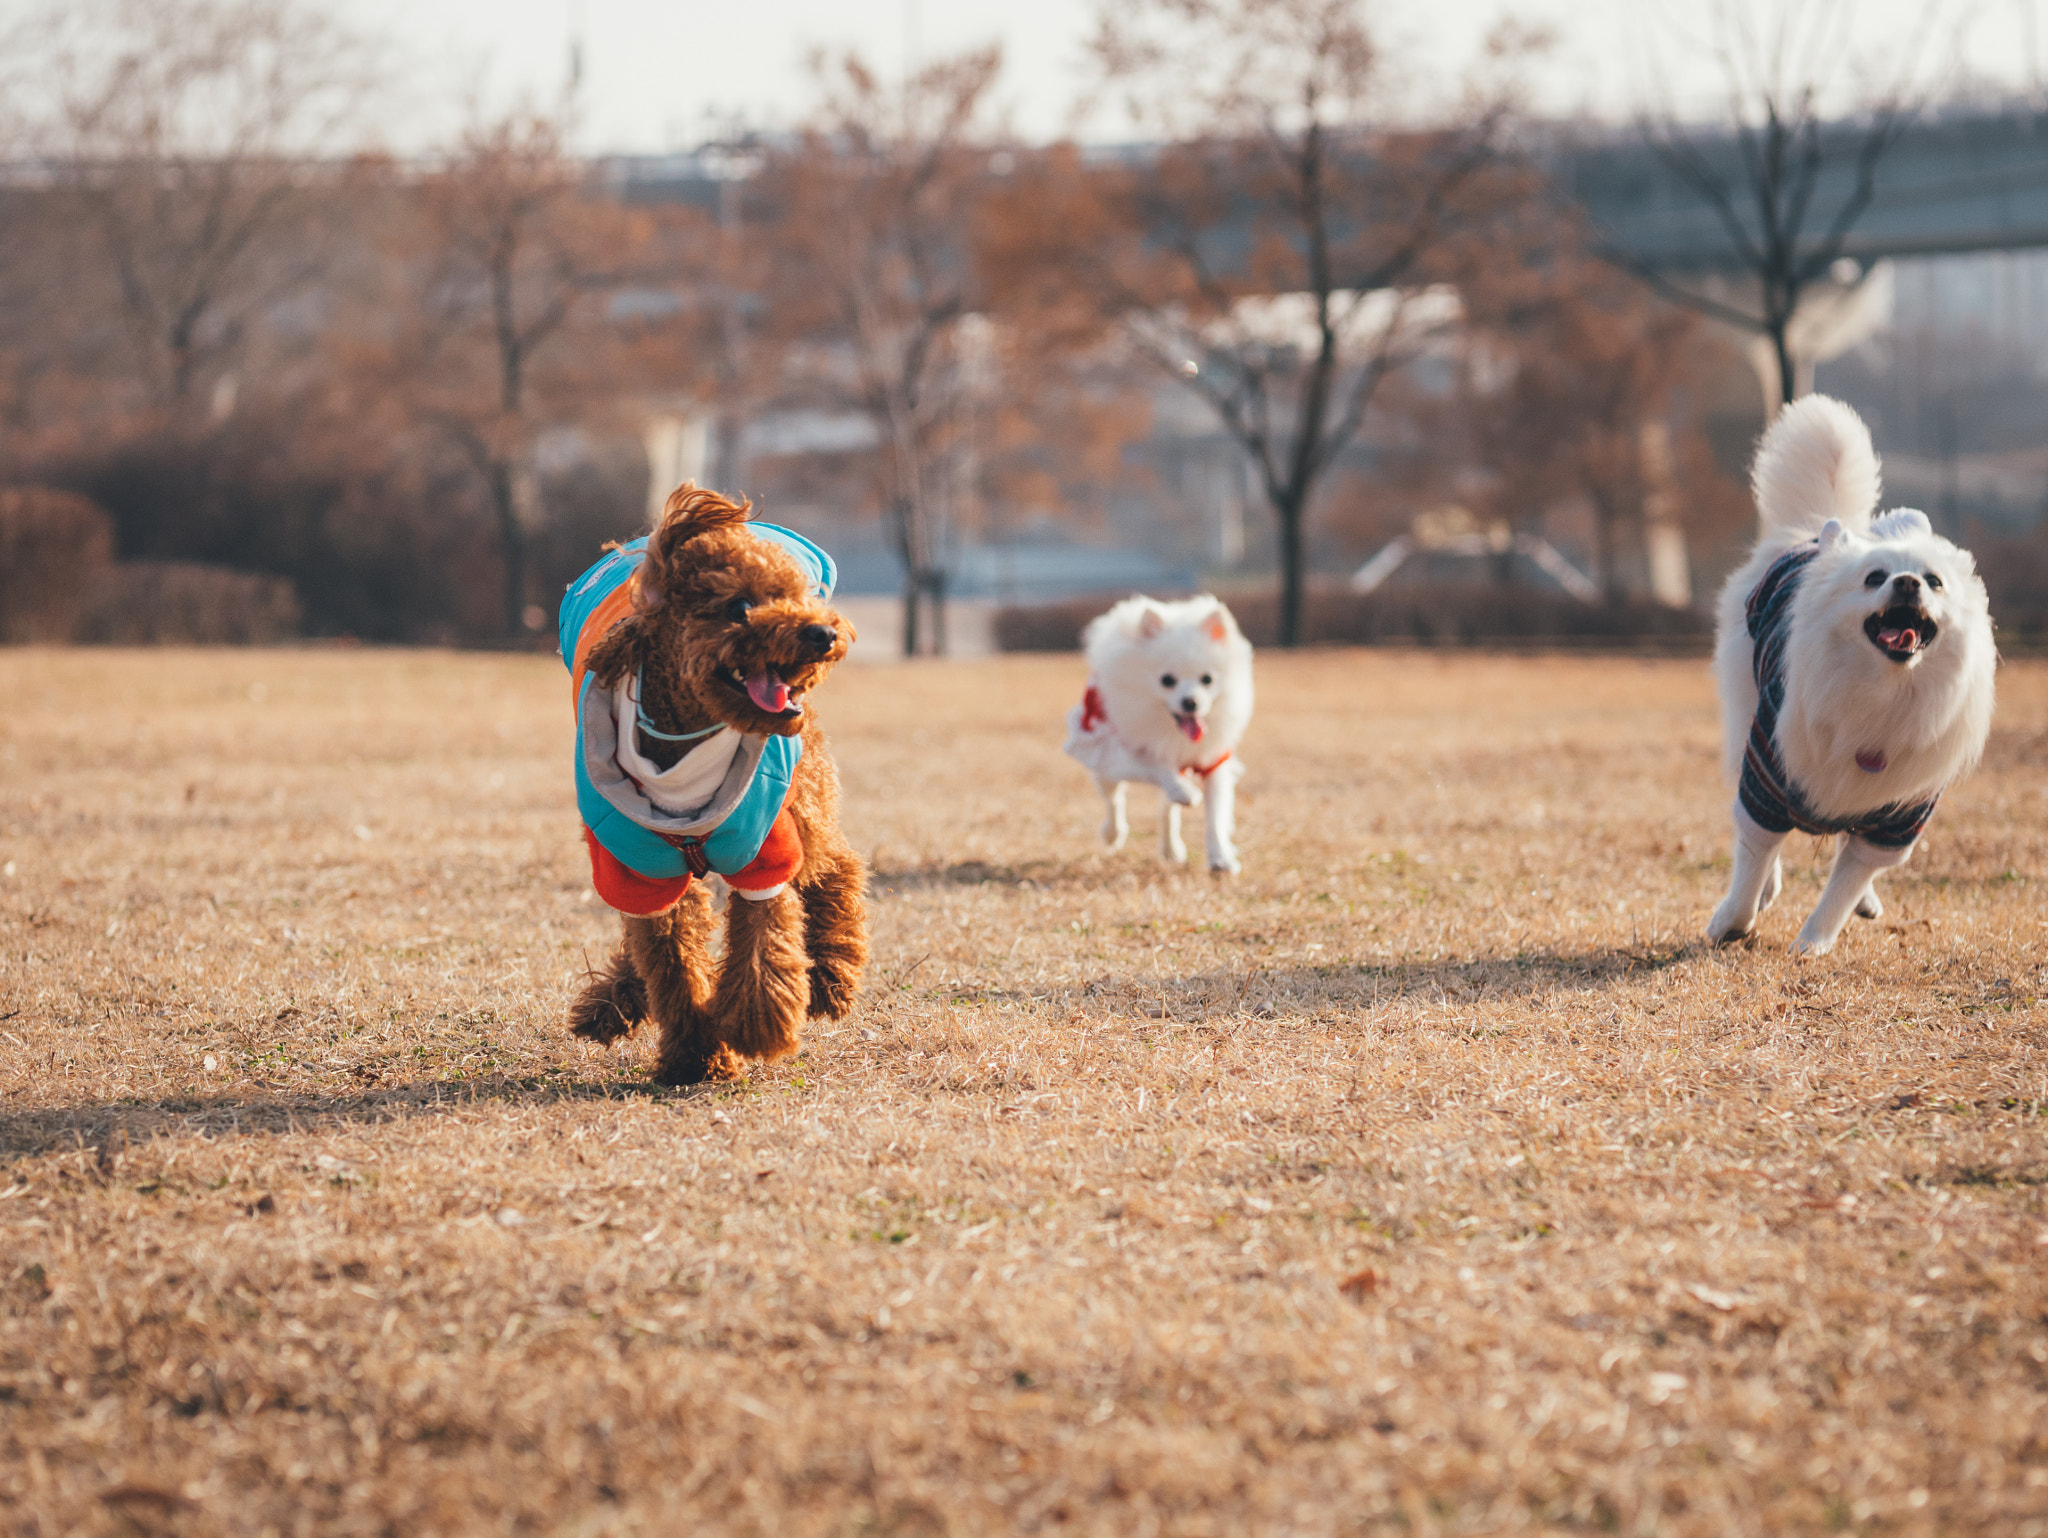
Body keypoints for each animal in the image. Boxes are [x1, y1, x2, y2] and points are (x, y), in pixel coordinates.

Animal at [1064, 593, 1253, 872]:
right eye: (1167, 680)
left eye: (1207, 679)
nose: (1191, 702)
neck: (1172, 732)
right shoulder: (1121, 752)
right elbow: (1157, 766)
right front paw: (1185, 790)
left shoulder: (1213, 763)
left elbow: (1215, 816)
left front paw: (1221, 857)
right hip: (1099, 756)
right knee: (1114, 799)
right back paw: (1113, 833)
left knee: (1167, 810)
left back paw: (1171, 849)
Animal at [1703, 397, 1990, 950]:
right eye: (1874, 578)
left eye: (1935, 582)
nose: (1907, 582)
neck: (1881, 691)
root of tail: (1819, 528)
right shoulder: (1768, 772)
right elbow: (1753, 853)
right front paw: (1733, 921)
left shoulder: (1895, 821)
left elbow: (1844, 883)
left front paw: (1813, 943)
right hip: (1745, 716)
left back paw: (1865, 902)